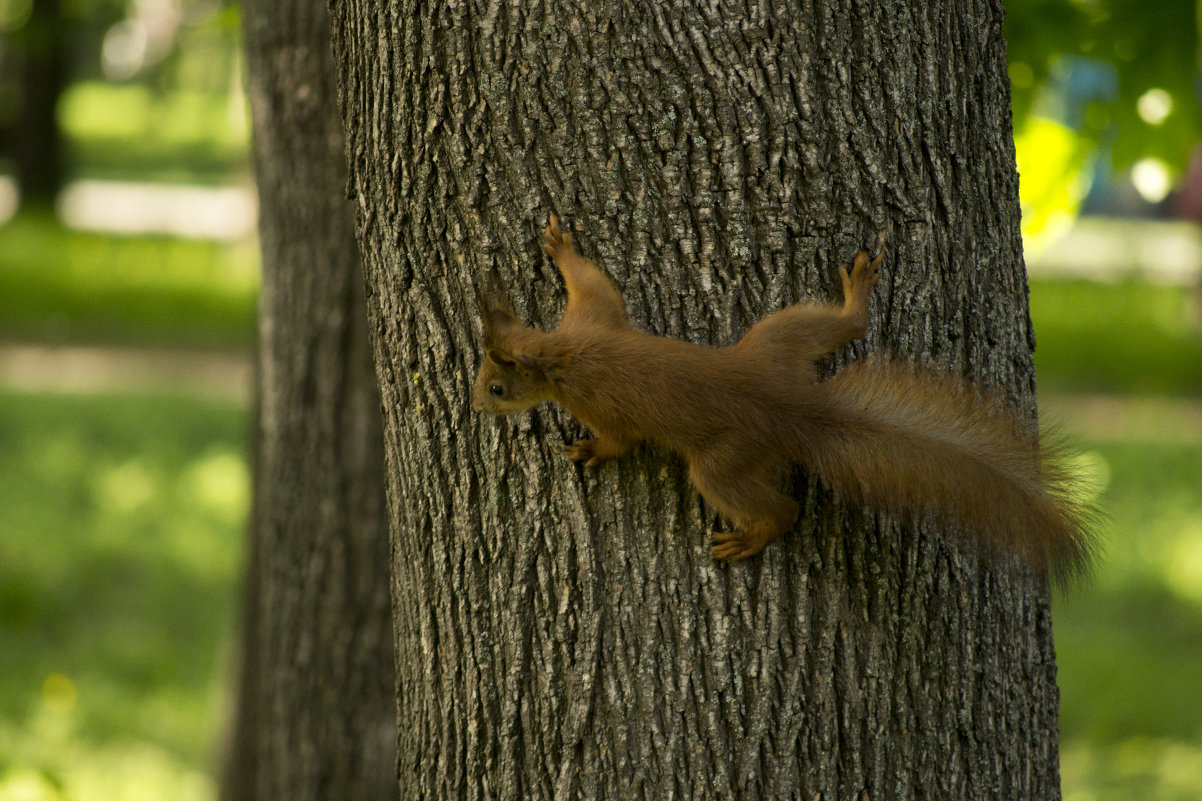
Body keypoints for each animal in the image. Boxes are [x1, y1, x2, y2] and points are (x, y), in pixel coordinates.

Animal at [473, 211, 1096, 574]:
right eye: (481, 376)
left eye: (497, 388)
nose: (477, 405)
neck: (559, 356)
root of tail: (791, 410)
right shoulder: (592, 315)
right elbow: (593, 280)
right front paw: (560, 246)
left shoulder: (599, 395)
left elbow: (619, 441)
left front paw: (589, 451)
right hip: (777, 342)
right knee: (845, 327)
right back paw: (856, 297)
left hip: (724, 462)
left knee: (782, 508)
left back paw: (752, 538)